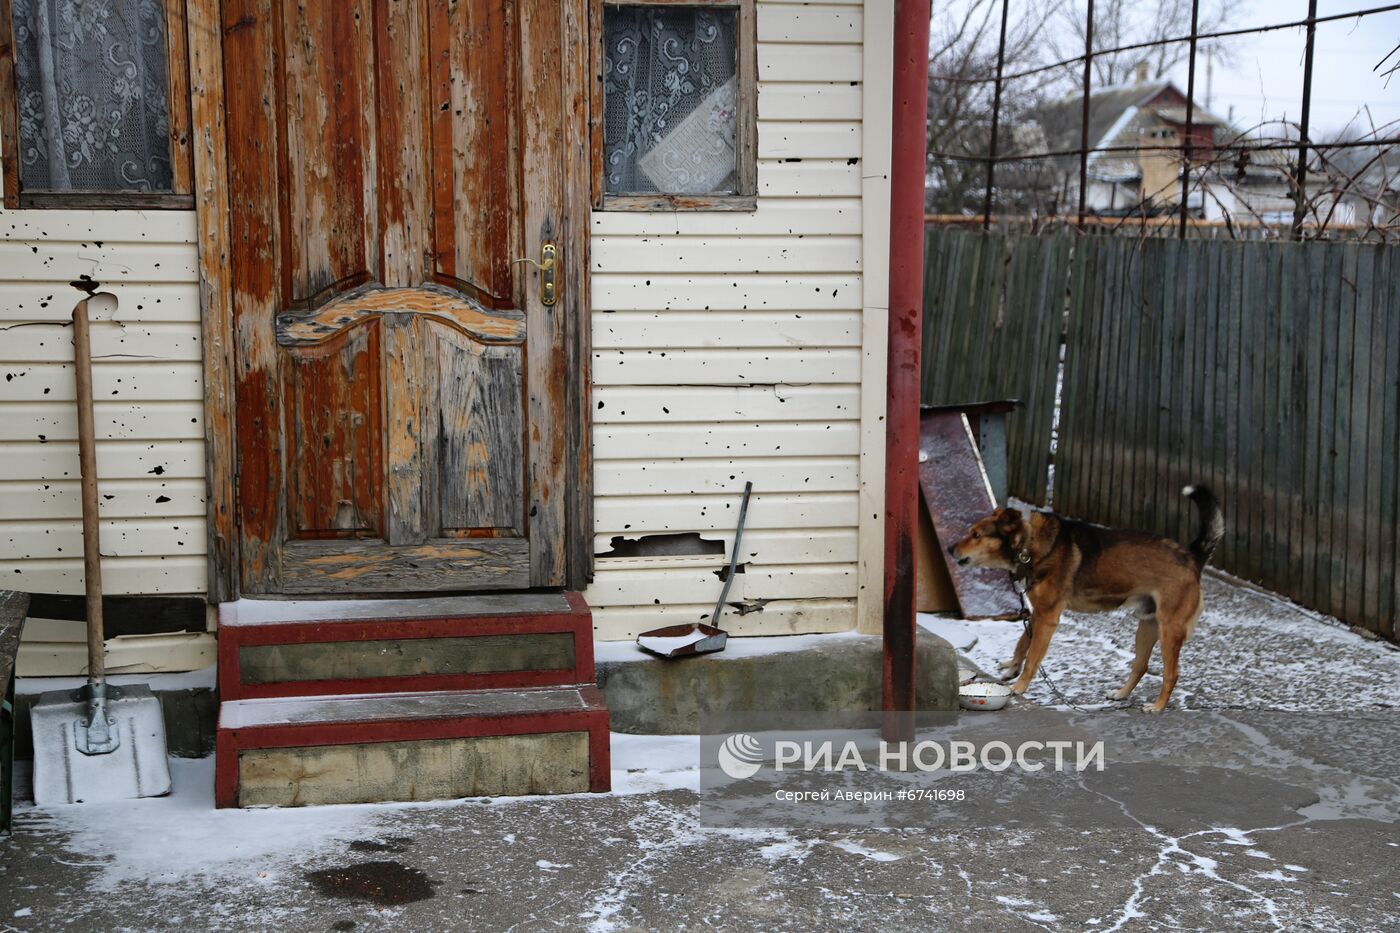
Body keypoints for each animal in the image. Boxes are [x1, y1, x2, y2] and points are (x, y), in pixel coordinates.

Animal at [946, 481, 1220, 708]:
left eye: (976, 535)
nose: (949, 548)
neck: (1028, 544)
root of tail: (1192, 557)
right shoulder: (1037, 612)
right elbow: (1023, 642)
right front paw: (1012, 667)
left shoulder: (1048, 618)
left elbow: (1033, 657)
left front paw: (1019, 686)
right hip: (1147, 625)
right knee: (1141, 666)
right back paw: (1121, 694)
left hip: (1168, 629)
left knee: (1171, 673)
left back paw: (1157, 707)